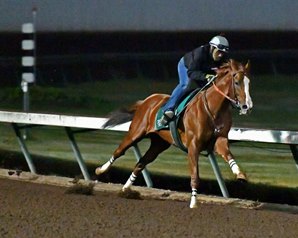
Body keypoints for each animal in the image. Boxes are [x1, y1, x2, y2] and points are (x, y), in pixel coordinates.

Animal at [96, 59, 254, 208]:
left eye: (248, 82)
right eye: (237, 82)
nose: (247, 106)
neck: (214, 109)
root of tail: (147, 100)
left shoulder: (220, 140)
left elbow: (228, 155)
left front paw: (240, 175)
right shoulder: (193, 146)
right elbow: (195, 176)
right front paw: (193, 203)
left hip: (159, 144)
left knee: (141, 163)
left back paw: (125, 190)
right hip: (135, 133)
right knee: (119, 151)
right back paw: (101, 170)